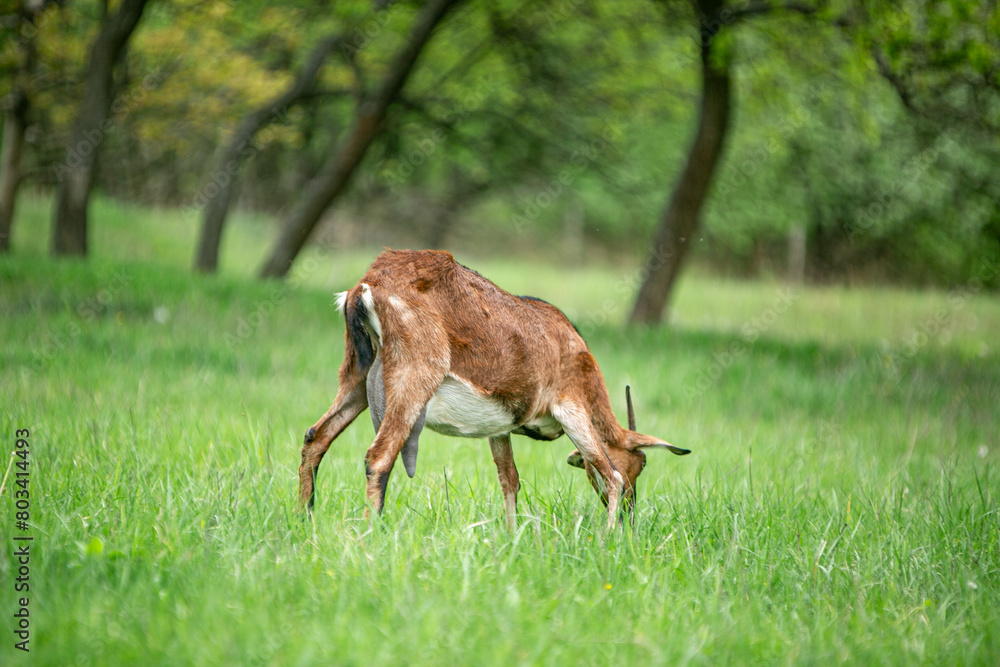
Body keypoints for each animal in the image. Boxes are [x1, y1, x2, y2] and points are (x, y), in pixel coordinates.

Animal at [300, 249, 690, 528]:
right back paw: (370, 535)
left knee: (316, 436)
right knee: (378, 455)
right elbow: (610, 475)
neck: (568, 343)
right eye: (640, 464)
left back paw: (306, 521)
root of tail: (368, 286)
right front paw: (608, 541)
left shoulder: (499, 425)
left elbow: (509, 479)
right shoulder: (572, 408)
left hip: (357, 378)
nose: (629, 517)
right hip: (413, 379)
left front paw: (512, 536)